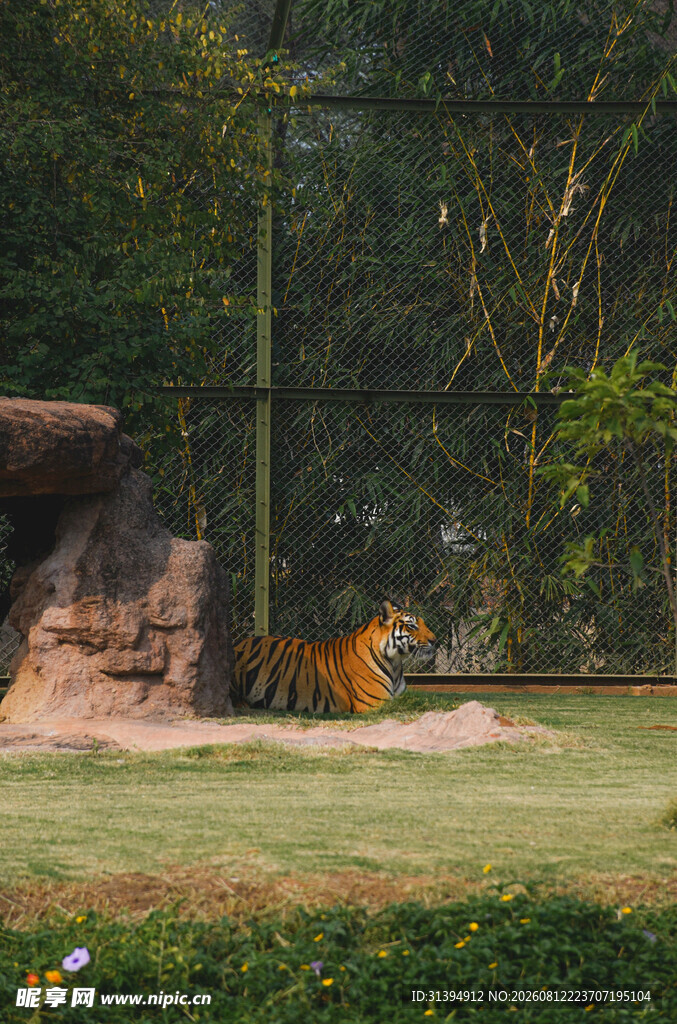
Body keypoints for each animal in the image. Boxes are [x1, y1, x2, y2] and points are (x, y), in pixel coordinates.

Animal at [232, 599, 437, 713]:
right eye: (412, 625)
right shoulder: (377, 703)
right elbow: (414, 707)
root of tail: (237, 642)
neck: (395, 663)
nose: (435, 640)